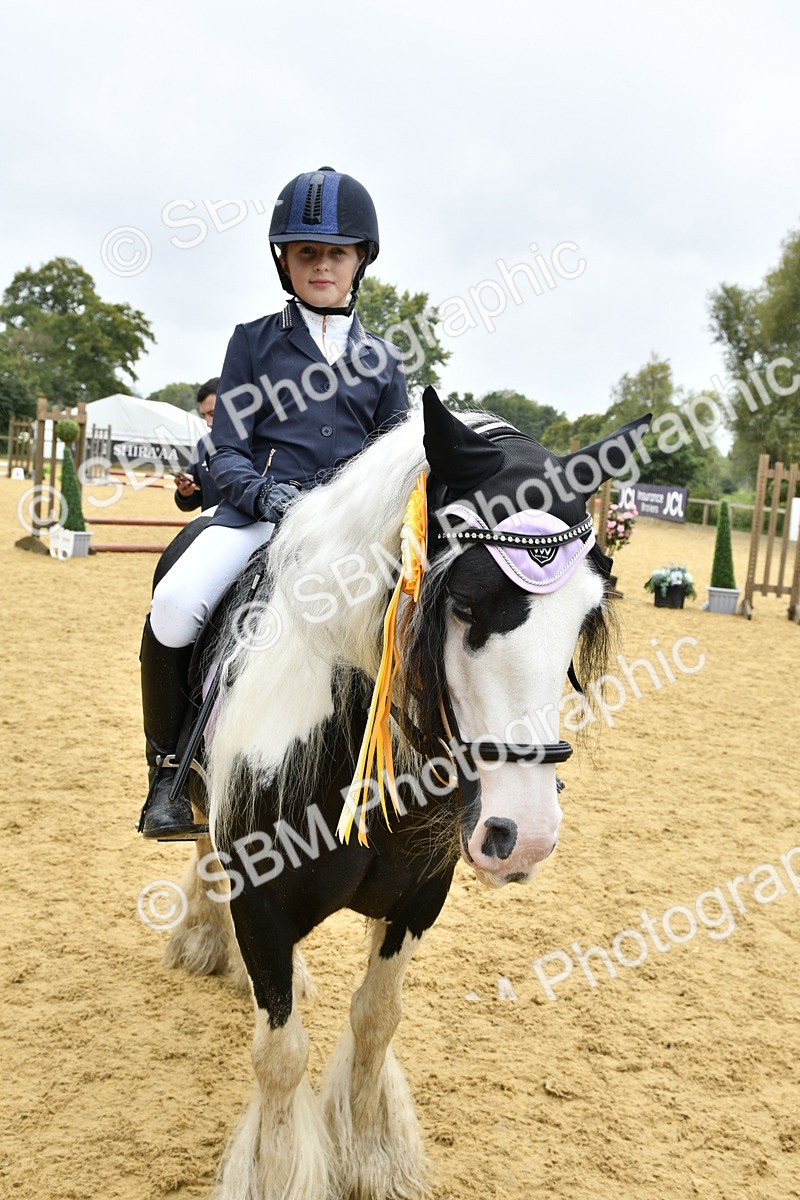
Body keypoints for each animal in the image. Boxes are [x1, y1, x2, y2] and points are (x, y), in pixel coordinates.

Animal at [161, 386, 649, 1200]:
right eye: (467, 603)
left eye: (585, 615)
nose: (526, 834)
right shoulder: (261, 900)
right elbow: (279, 1055)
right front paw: (277, 1171)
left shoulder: (419, 897)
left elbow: (375, 1020)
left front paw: (369, 1154)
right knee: (199, 838)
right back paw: (204, 939)